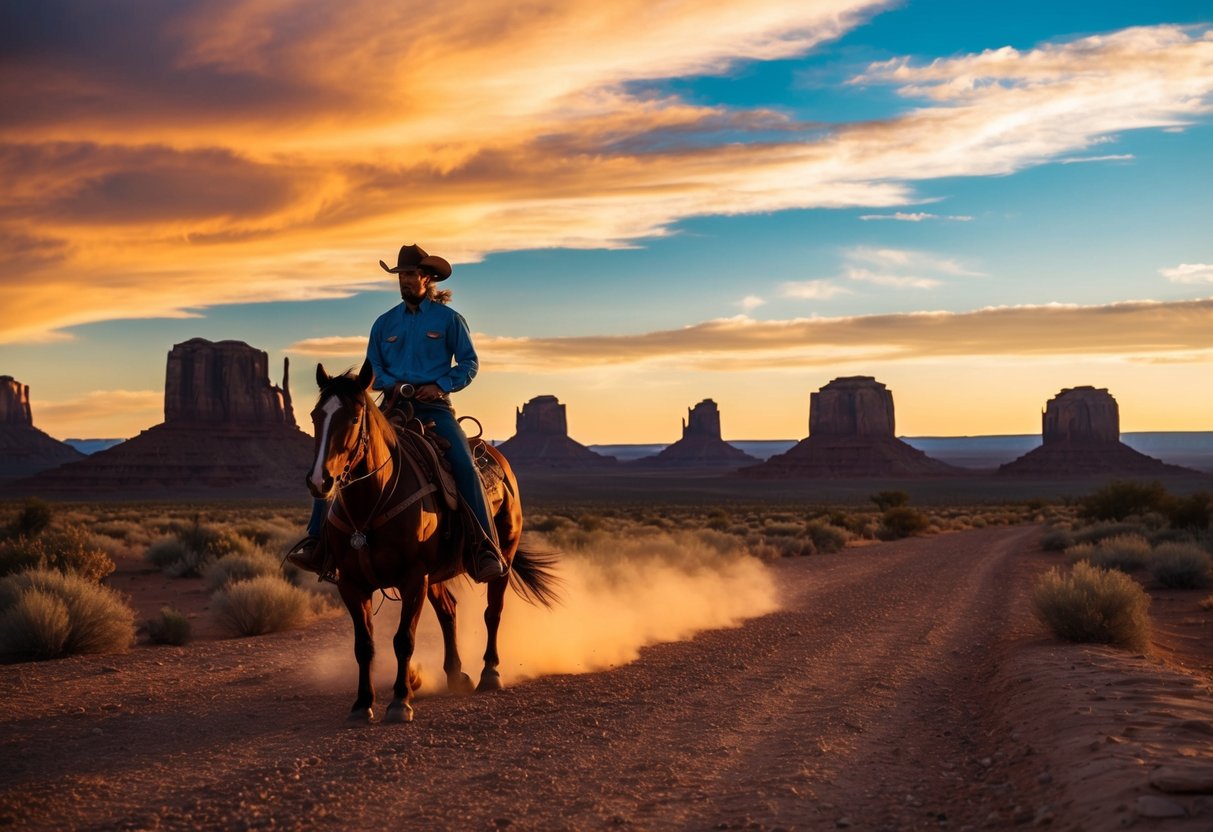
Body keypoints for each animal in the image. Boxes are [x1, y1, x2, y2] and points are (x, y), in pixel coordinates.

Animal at [305, 361, 555, 727]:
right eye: (315, 416)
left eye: (353, 418)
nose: (319, 482)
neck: (371, 503)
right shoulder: (352, 584)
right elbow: (364, 644)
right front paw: (362, 703)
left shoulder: (412, 578)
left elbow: (403, 639)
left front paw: (399, 701)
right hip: (435, 574)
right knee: (449, 611)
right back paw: (455, 674)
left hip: (501, 556)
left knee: (493, 611)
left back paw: (490, 673)